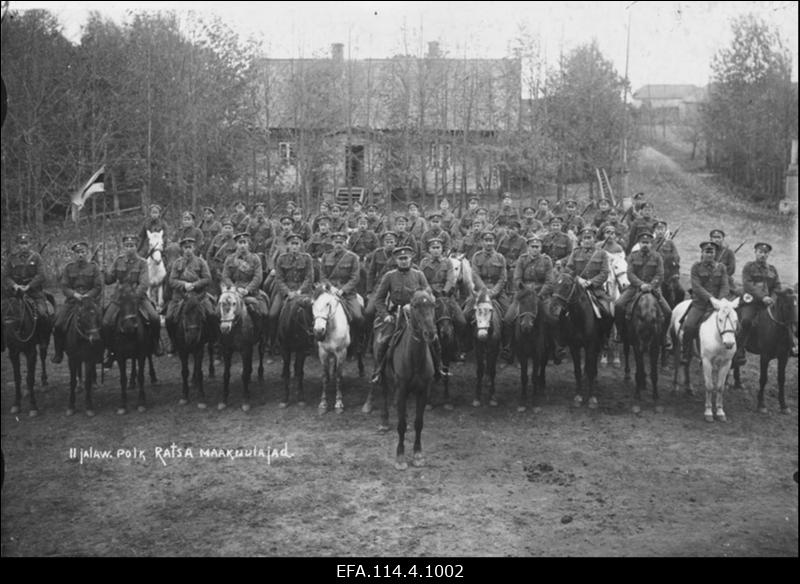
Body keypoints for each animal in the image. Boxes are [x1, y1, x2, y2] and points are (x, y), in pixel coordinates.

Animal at [376, 288, 434, 470]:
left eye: (432, 304)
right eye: (415, 306)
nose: (430, 333)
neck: (414, 358)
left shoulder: (423, 392)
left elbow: (419, 423)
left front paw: (418, 454)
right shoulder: (401, 391)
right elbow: (400, 426)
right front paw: (400, 456)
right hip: (384, 378)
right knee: (384, 394)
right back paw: (384, 422)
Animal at [544, 272, 612, 406]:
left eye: (567, 286)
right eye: (554, 284)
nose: (553, 308)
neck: (580, 317)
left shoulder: (591, 345)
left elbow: (590, 369)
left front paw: (591, 398)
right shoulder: (574, 347)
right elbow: (577, 371)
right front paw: (578, 396)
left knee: (593, 364)